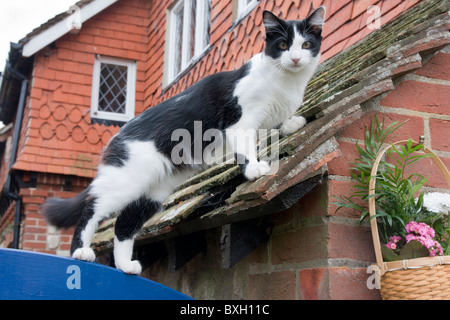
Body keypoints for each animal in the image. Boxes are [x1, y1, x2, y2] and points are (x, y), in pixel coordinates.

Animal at [41, 6, 324, 274]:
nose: (295, 58)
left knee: (123, 225)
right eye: (283, 45)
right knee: (92, 208)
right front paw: (254, 169)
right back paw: (80, 251)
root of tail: (117, 137)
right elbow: (245, 147)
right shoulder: (239, 120)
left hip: (152, 192)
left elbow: (277, 122)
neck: (285, 82)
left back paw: (125, 266)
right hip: (126, 181)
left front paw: (291, 123)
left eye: (306, 45)